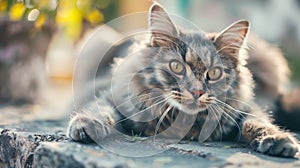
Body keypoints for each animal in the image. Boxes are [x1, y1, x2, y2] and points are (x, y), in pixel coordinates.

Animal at [67, 2, 300, 158]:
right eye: (177, 67)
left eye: (214, 73)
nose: (196, 92)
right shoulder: (112, 95)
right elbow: (99, 109)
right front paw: (86, 125)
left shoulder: (245, 108)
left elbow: (257, 121)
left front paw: (277, 139)